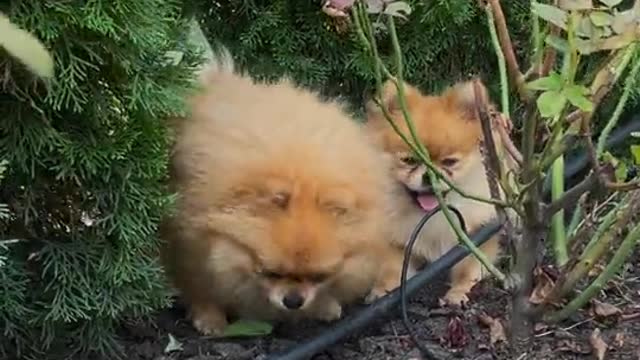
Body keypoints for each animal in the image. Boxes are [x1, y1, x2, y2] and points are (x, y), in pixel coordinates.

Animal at [159, 52, 400, 334]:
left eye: (319, 276)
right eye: (270, 272)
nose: (293, 300)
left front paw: (324, 306)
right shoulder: (189, 242)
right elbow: (197, 284)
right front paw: (209, 317)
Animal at [364, 79, 516, 306]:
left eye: (449, 162)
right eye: (409, 160)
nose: (429, 175)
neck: (433, 217)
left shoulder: (477, 234)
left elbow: (468, 266)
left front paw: (458, 292)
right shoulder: (395, 242)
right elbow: (393, 267)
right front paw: (383, 291)